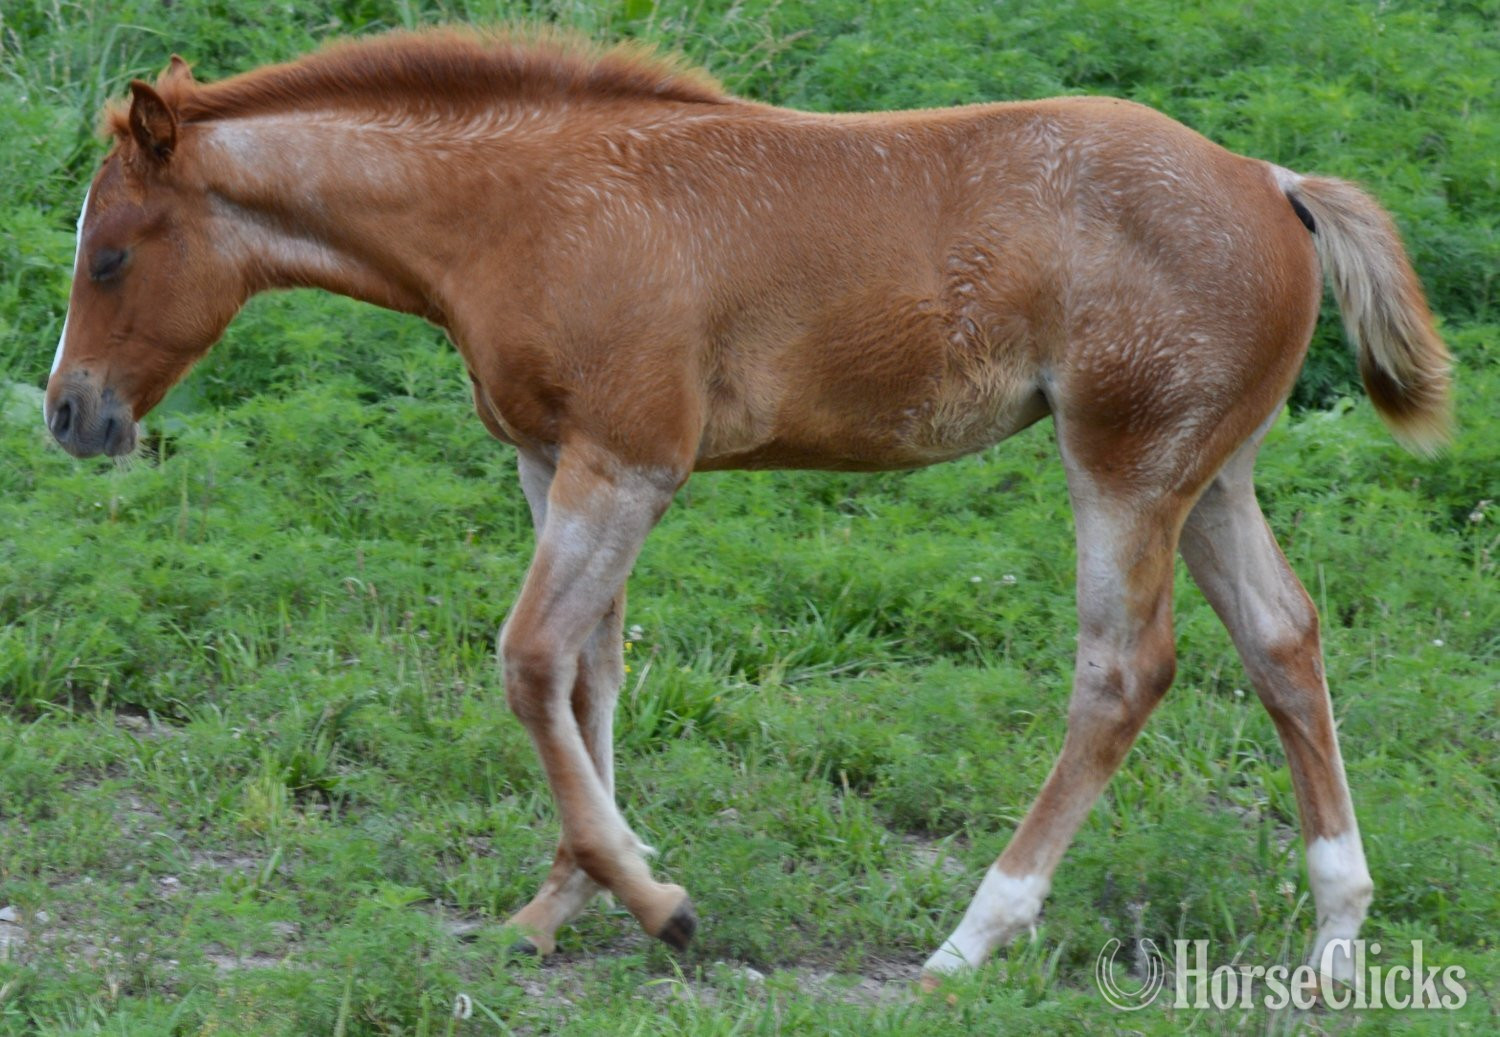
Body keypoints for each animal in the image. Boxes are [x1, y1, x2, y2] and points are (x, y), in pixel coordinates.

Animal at [45, 29, 1451, 987]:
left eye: (109, 254)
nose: (69, 414)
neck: (519, 209)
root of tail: (1273, 178)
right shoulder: (553, 462)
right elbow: (590, 675)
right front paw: (559, 907)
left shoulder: (626, 464)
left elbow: (532, 659)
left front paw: (657, 903)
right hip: (1212, 471)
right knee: (1283, 638)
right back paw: (1333, 940)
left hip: (1124, 463)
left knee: (1122, 669)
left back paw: (970, 938)